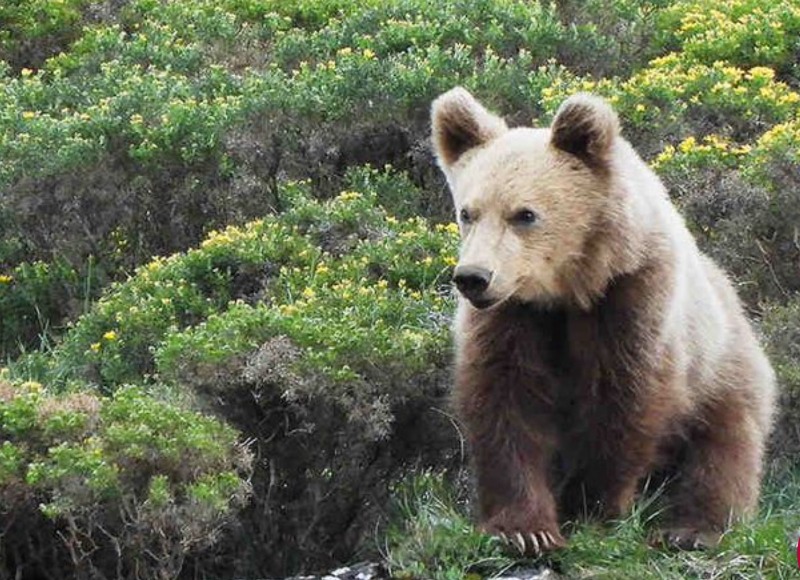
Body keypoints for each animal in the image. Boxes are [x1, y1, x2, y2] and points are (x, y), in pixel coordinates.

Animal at [430, 87, 777, 555]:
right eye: (468, 212)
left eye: (525, 214)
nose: (473, 277)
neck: (570, 289)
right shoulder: (514, 317)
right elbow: (505, 402)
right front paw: (525, 530)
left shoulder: (632, 298)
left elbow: (623, 400)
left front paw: (591, 508)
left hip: (722, 372)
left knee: (723, 450)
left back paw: (692, 530)